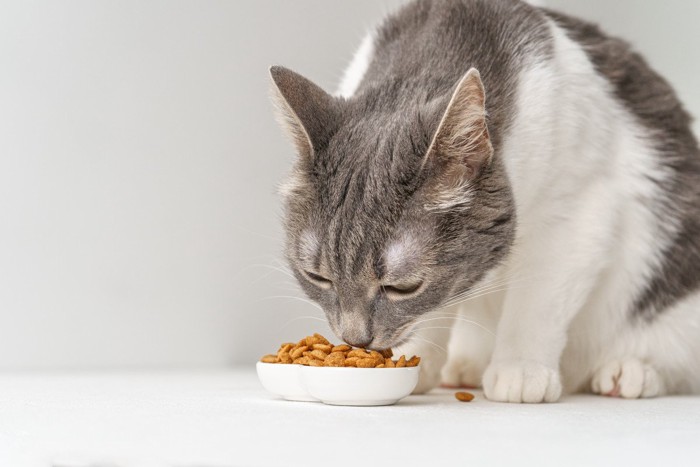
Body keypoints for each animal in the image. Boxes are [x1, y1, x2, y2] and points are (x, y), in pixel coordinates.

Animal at [268, 0, 700, 402]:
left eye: (403, 287)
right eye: (318, 277)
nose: (355, 340)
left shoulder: (579, 210)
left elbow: (537, 300)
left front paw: (521, 370)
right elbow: (439, 307)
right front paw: (417, 362)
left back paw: (630, 371)